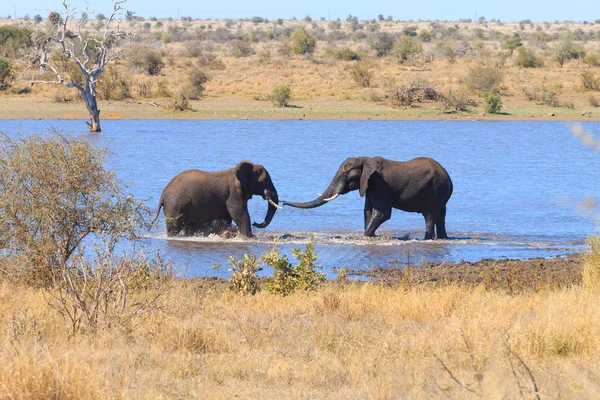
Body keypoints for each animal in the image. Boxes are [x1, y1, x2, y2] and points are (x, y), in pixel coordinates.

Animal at [150, 160, 282, 238]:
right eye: (263, 181)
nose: (256, 223)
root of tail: (162, 196)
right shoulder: (234, 193)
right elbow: (239, 213)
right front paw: (248, 238)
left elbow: (228, 217)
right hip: (175, 205)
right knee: (174, 227)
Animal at [284, 155, 452, 238]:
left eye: (345, 175)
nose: (283, 202)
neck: (365, 160)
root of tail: (448, 177)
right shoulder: (369, 185)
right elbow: (367, 211)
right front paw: (370, 237)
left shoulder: (381, 185)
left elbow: (383, 213)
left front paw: (368, 235)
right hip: (441, 192)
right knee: (440, 216)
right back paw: (442, 239)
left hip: (435, 189)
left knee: (429, 215)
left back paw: (428, 238)